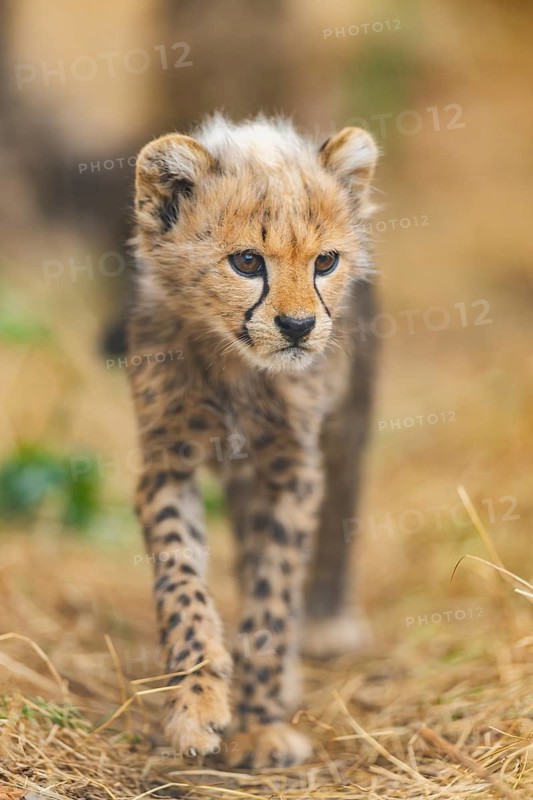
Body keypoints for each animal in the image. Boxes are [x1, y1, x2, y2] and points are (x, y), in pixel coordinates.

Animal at [127, 114, 379, 769]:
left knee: (338, 520)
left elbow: (274, 589)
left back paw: (323, 623)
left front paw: (260, 726)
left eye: (325, 262)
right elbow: (182, 586)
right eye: (246, 262)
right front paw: (195, 706)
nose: (298, 326)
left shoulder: (294, 470)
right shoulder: (167, 464)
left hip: (347, 427)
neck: (236, 367)